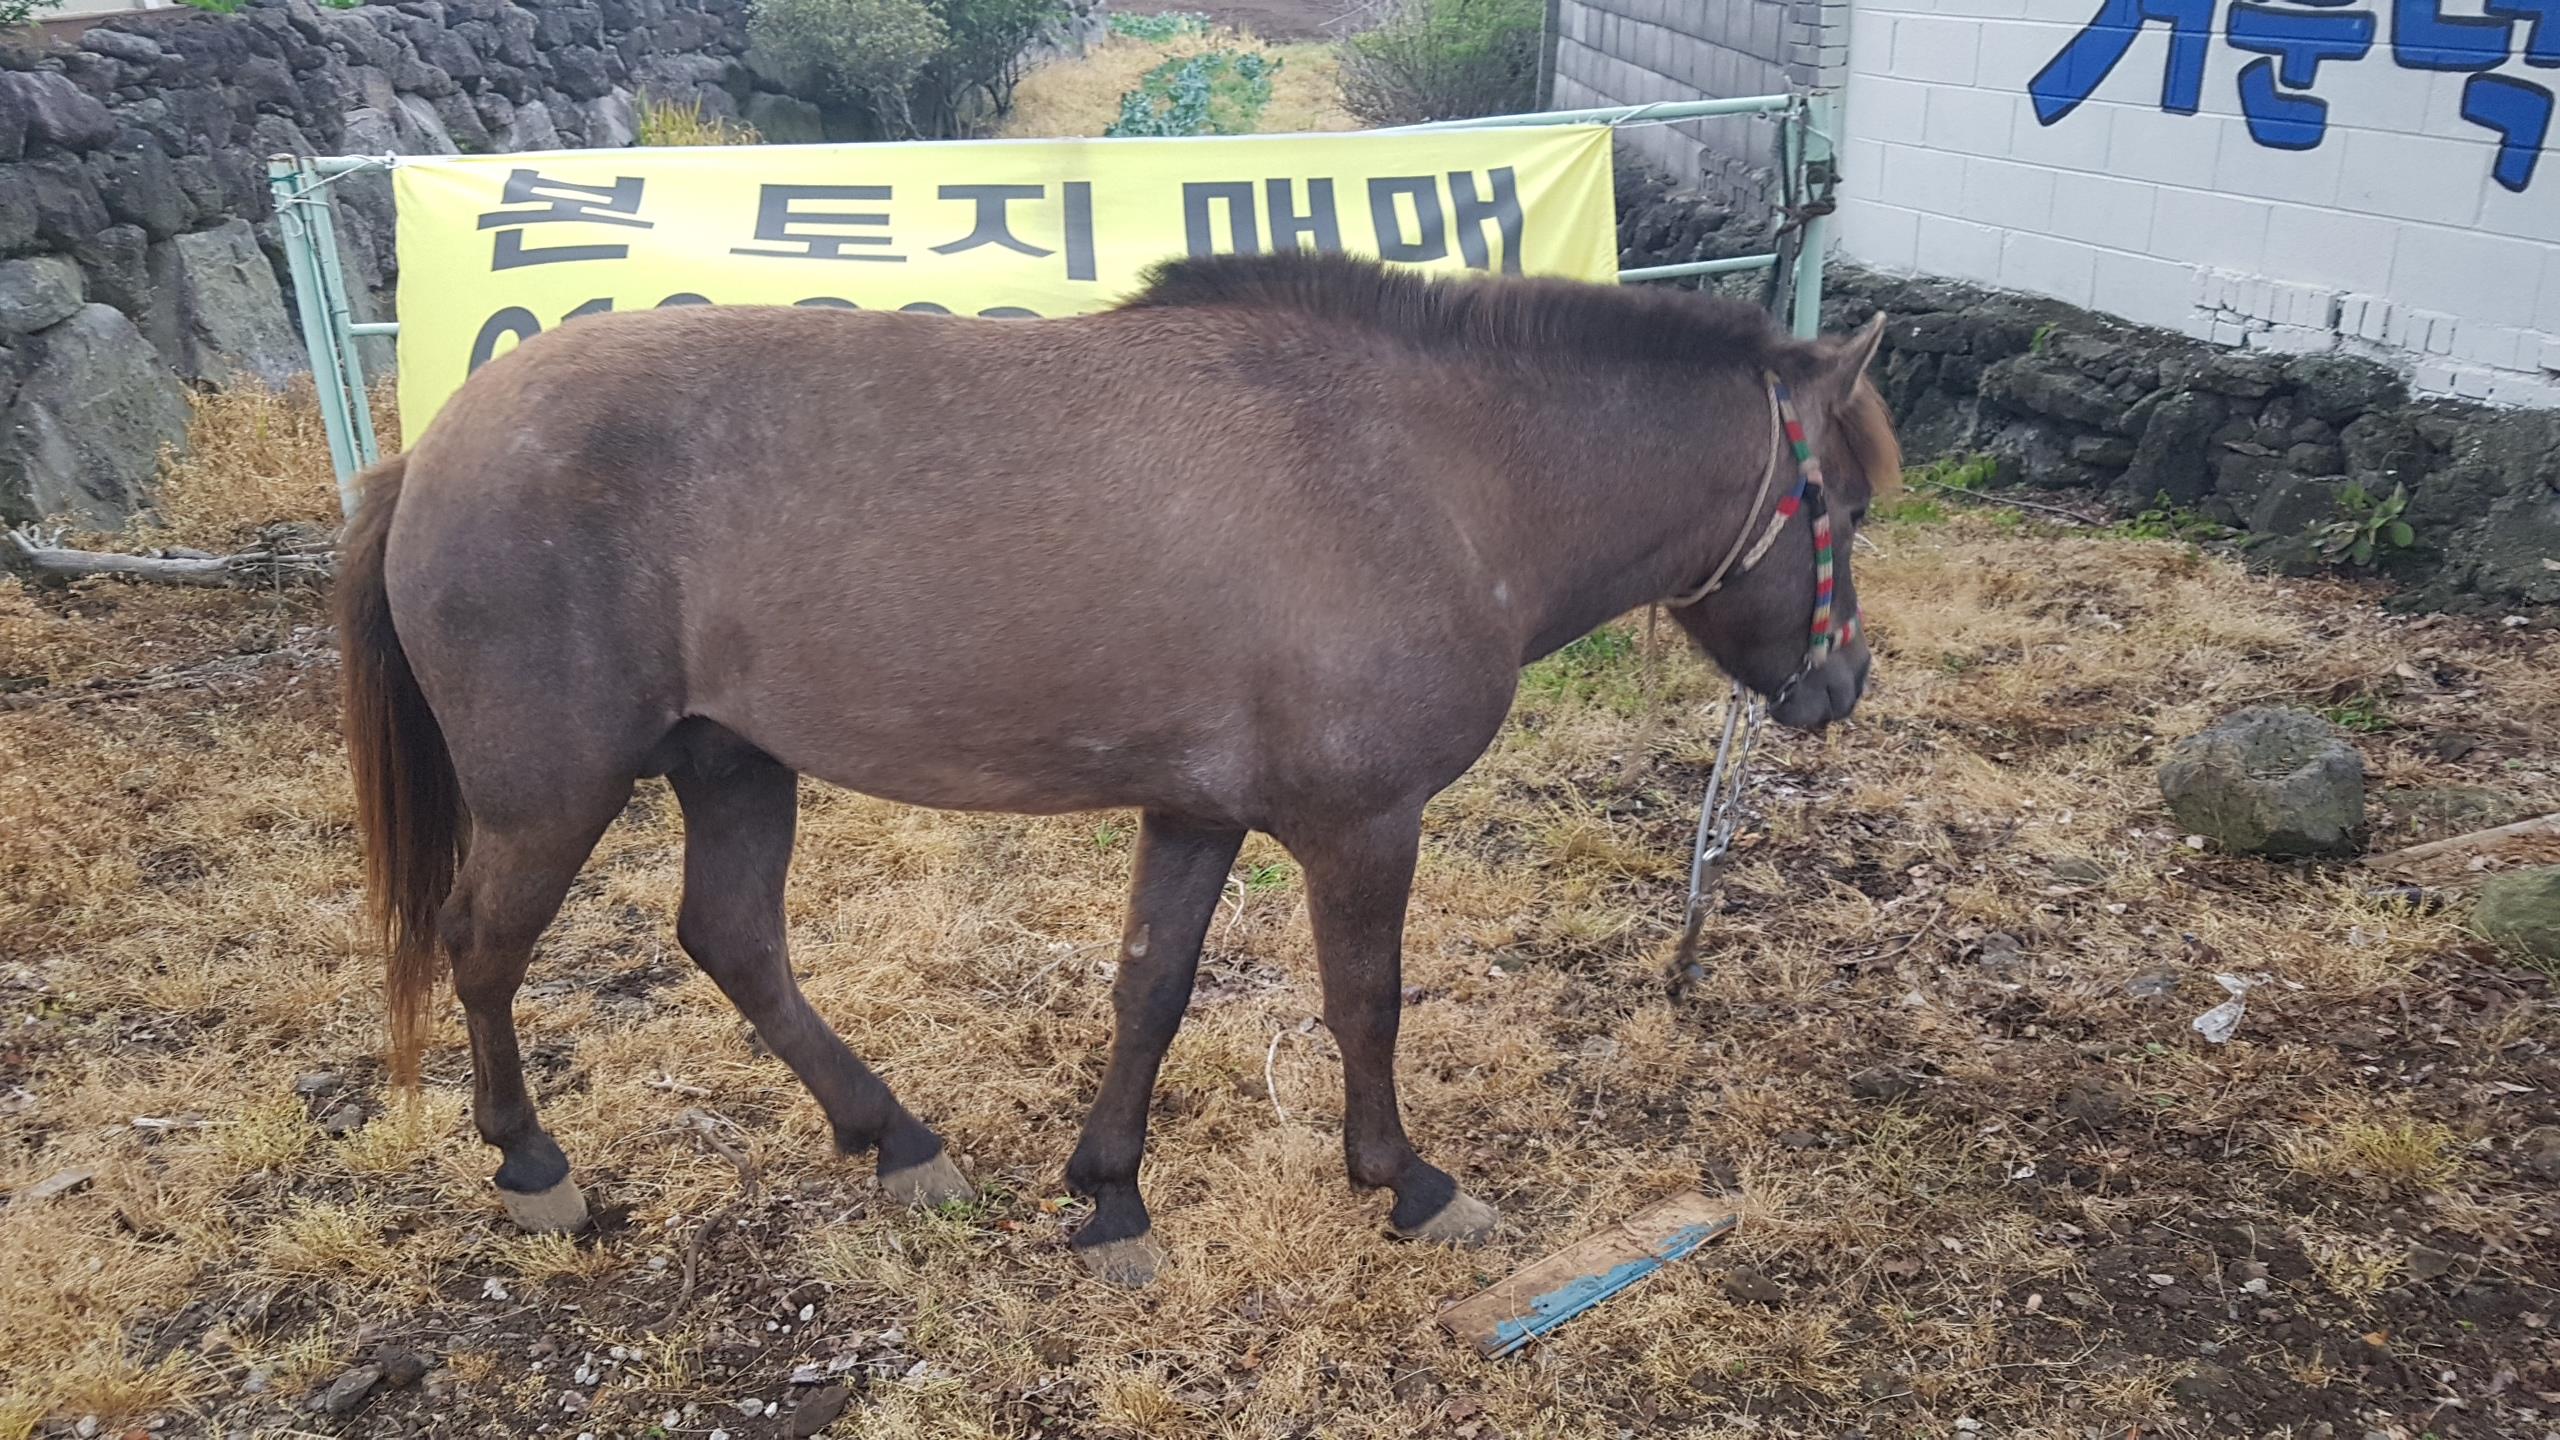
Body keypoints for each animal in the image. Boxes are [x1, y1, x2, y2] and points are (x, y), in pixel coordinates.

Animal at [335, 252, 1904, 1281]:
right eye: (1850, 504)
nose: (1841, 685)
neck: (1437, 478)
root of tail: (431, 451)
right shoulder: (1363, 825)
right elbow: (1366, 1006)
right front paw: (1405, 1184)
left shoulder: (1195, 812)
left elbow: (1149, 990)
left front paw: (1108, 1197)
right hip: (553, 792)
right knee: (483, 947)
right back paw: (532, 1164)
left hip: (728, 765)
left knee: (732, 940)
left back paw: (894, 1141)